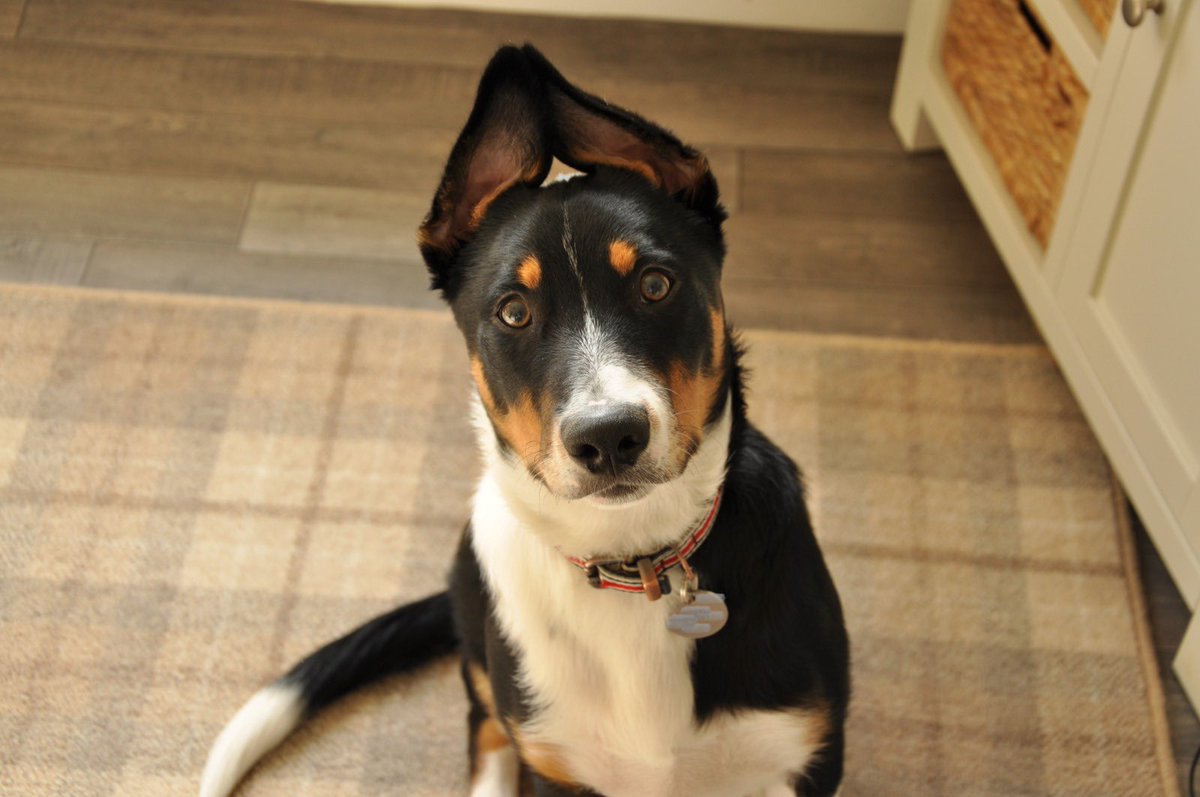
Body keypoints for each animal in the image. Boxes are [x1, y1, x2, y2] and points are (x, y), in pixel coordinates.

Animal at [201, 45, 849, 797]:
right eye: (513, 311)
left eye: (656, 284)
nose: (608, 436)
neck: (632, 560)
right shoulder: (556, 763)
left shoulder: (805, 754)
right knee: (483, 721)